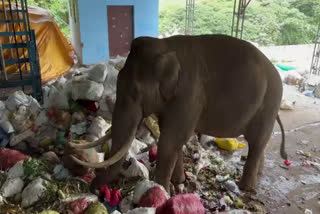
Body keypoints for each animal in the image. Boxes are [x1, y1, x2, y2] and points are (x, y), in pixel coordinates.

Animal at [67, 33, 288, 192]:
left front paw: (161, 191)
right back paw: (258, 175)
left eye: (136, 92)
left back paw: (246, 188)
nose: (93, 189)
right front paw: (178, 181)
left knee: (257, 142)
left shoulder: (189, 94)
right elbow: (173, 138)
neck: (165, 47)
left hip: (269, 104)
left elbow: (171, 140)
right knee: (259, 144)